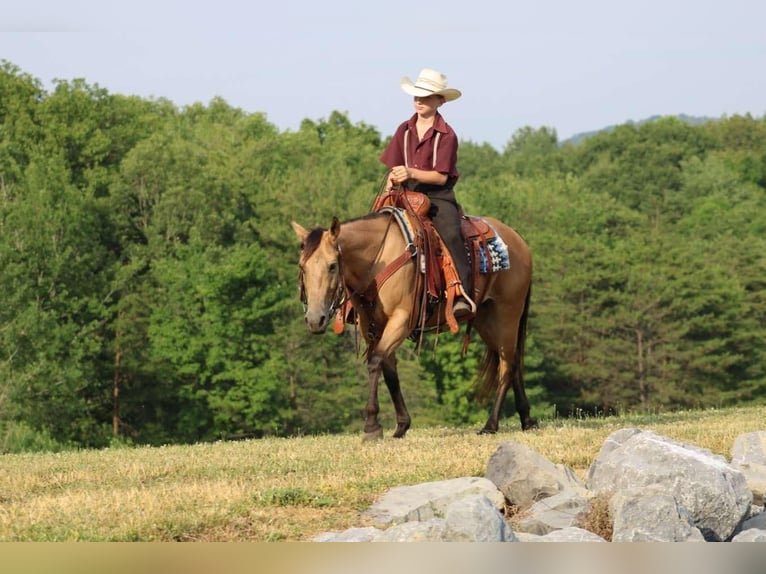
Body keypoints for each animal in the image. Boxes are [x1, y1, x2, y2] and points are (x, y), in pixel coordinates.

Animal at [292, 196, 536, 444]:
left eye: (332, 266)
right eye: (302, 267)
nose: (315, 319)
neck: (378, 258)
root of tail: (518, 240)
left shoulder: (401, 320)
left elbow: (375, 362)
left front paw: (371, 425)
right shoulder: (372, 325)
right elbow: (389, 371)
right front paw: (401, 425)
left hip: (507, 313)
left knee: (507, 366)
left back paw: (491, 425)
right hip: (486, 320)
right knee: (513, 360)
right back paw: (526, 419)